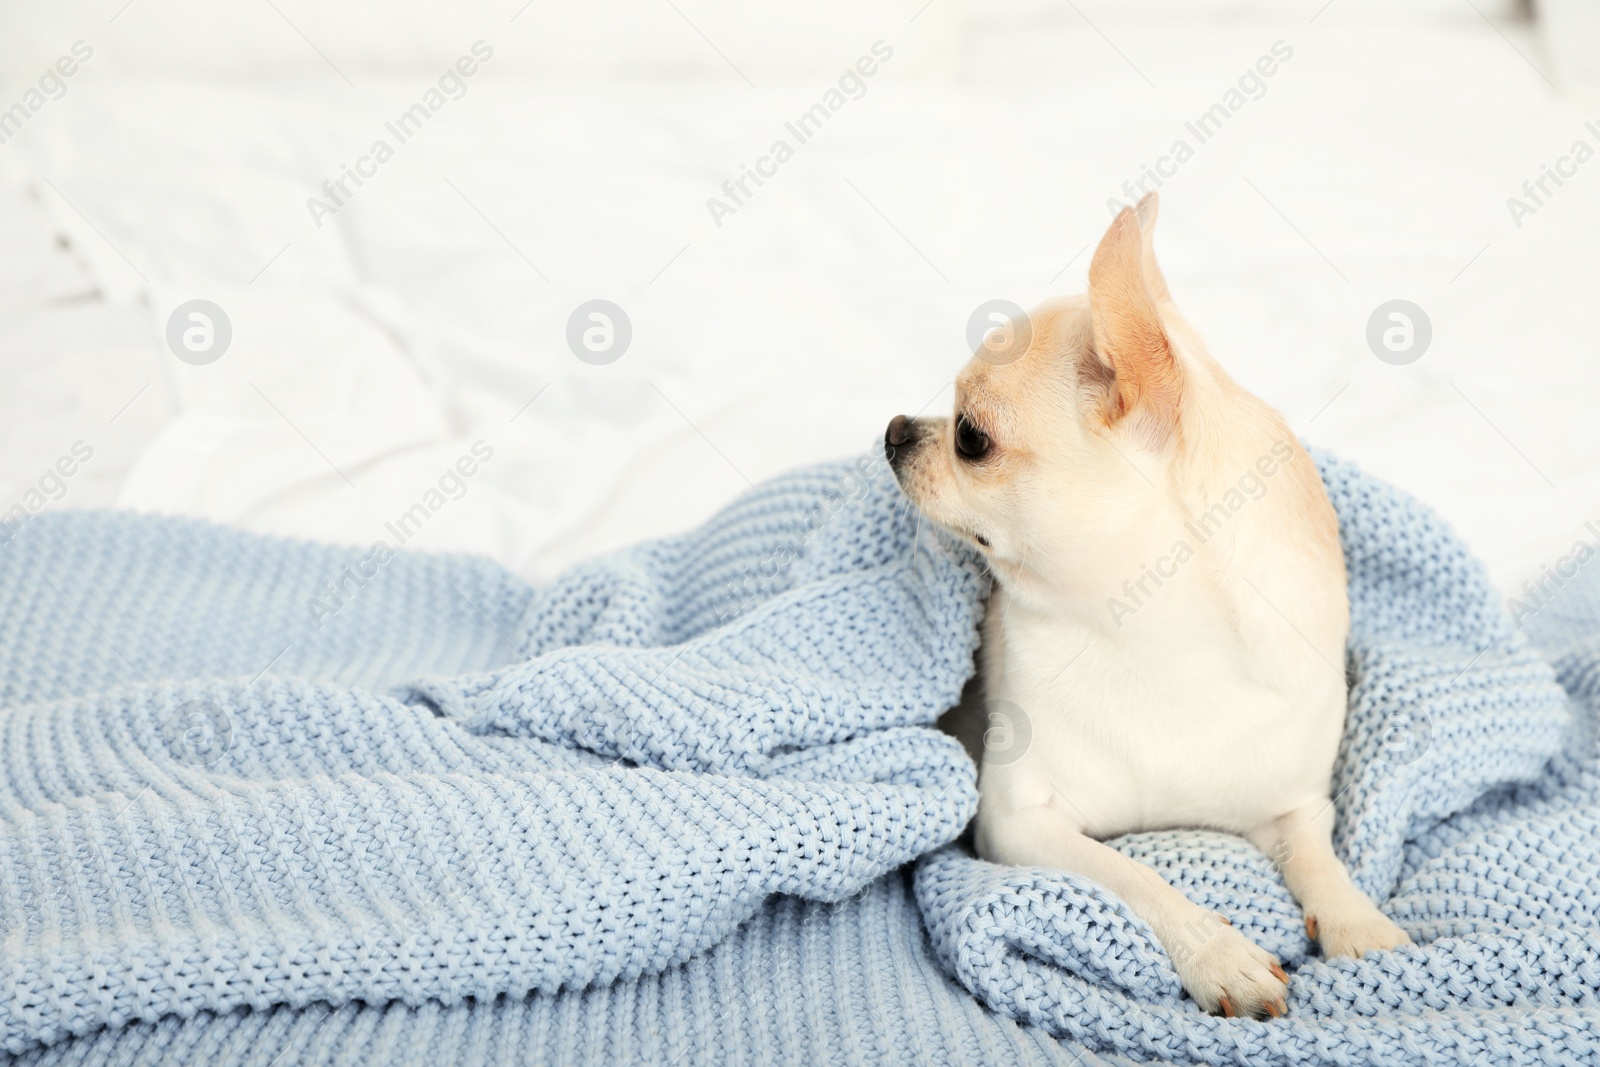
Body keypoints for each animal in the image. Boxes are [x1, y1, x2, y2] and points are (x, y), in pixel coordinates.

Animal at [896, 195, 1408, 1023]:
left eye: (970, 437)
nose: (895, 430)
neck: (1147, 637)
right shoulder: (1019, 820)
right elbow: (1137, 877)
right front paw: (1220, 953)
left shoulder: (1295, 805)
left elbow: (1320, 856)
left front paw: (1358, 921)